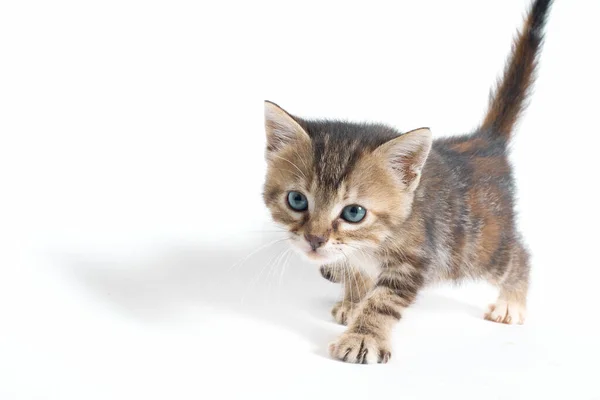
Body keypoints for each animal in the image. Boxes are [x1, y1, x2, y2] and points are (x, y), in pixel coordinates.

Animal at [260, 0, 552, 364]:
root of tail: (484, 142)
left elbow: (384, 301)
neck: (369, 244)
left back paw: (511, 302)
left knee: (518, 254)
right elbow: (356, 274)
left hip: (476, 247)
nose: (314, 240)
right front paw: (352, 302)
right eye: (297, 200)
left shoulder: (415, 257)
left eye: (354, 213)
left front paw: (363, 336)